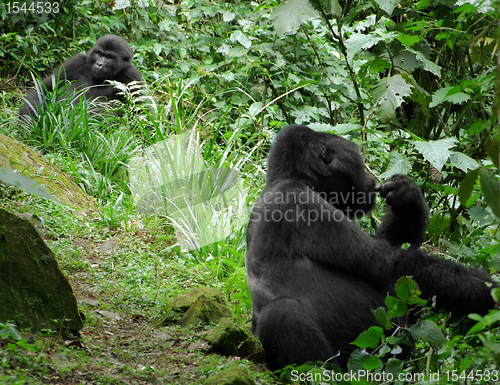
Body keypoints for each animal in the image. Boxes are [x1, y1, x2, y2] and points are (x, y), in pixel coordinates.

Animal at [244, 124, 494, 370]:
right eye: (358, 161)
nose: (371, 180)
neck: (290, 178)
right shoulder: (302, 204)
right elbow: (391, 266)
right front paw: (488, 290)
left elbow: (399, 276)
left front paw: (407, 195)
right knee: (281, 315)